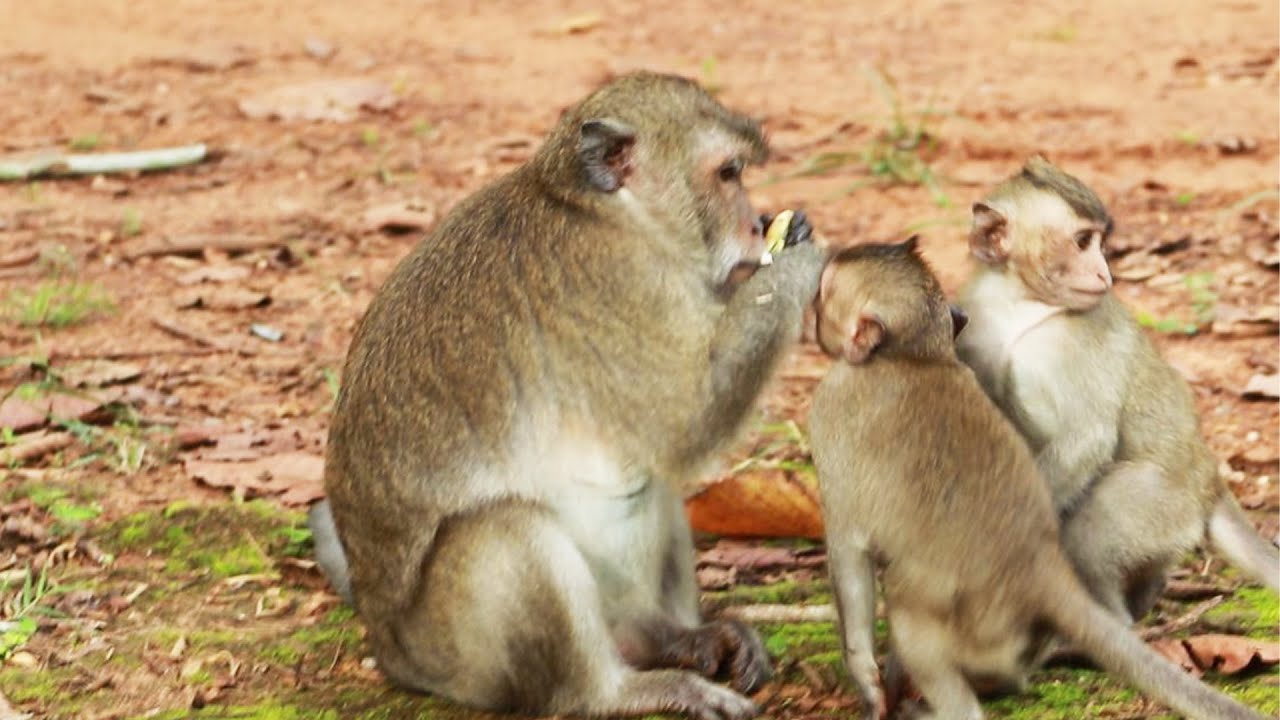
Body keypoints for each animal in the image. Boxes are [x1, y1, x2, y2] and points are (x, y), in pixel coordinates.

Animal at [307, 72, 826, 720]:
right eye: (728, 173)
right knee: (506, 532)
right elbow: (686, 419)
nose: (755, 223)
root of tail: (387, 644)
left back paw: (672, 636)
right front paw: (798, 260)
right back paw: (621, 692)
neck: (600, 210)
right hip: (450, 654)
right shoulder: (618, 278)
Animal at [807, 238, 1265, 720]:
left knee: (913, 614)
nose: (812, 316)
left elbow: (849, 554)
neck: (915, 358)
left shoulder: (830, 412)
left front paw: (868, 680)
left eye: (822, 296)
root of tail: (1044, 571)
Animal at [954, 157, 1279, 624]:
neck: (1019, 306)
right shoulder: (972, 325)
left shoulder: (1074, 340)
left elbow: (1085, 438)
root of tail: (1208, 477)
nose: (1104, 272)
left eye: (1098, 242)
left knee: (1093, 531)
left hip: (1165, 498)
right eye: (1082, 241)